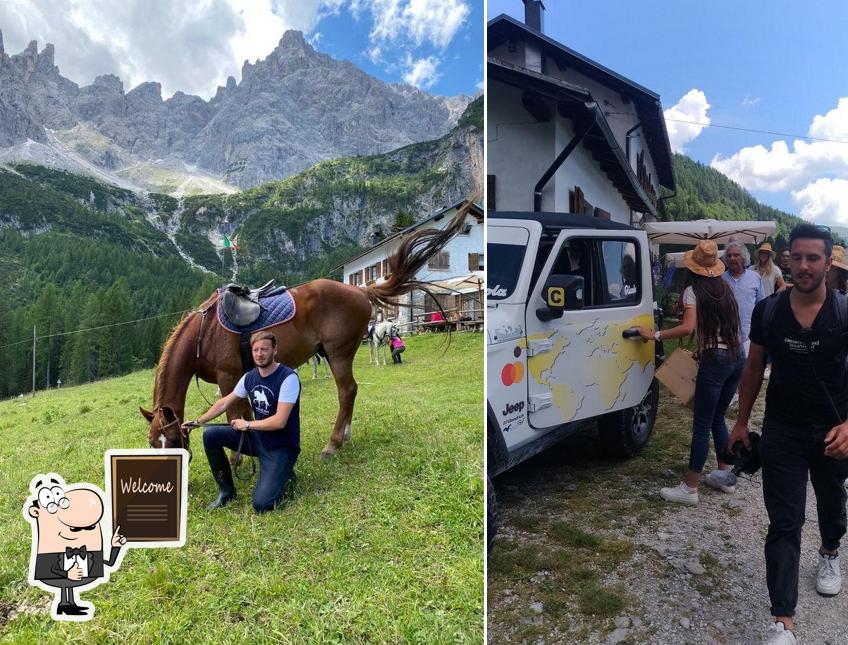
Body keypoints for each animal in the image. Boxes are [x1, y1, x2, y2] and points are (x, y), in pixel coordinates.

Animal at [138, 201, 470, 458]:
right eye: (153, 442)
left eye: (172, 441)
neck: (204, 332)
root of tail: (360, 291)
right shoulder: (240, 378)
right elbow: (245, 412)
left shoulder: (228, 376)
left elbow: (234, 415)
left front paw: (236, 461)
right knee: (350, 392)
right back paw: (345, 436)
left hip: (338, 353)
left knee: (347, 391)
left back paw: (332, 444)